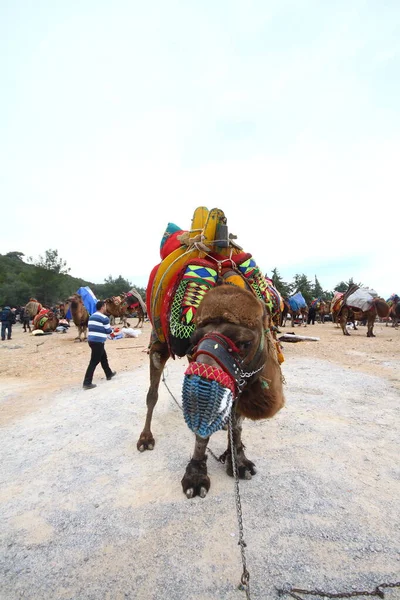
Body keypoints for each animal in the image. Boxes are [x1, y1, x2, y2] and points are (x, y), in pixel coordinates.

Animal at [137, 209, 284, 500]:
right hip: (157, 343)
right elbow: (204, 427)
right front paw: (195, 476)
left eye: (245, 342)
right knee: (153, 392)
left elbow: (236, 419)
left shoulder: (241, 374)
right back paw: (145, 438)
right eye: (193, 342)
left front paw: (238, 460)